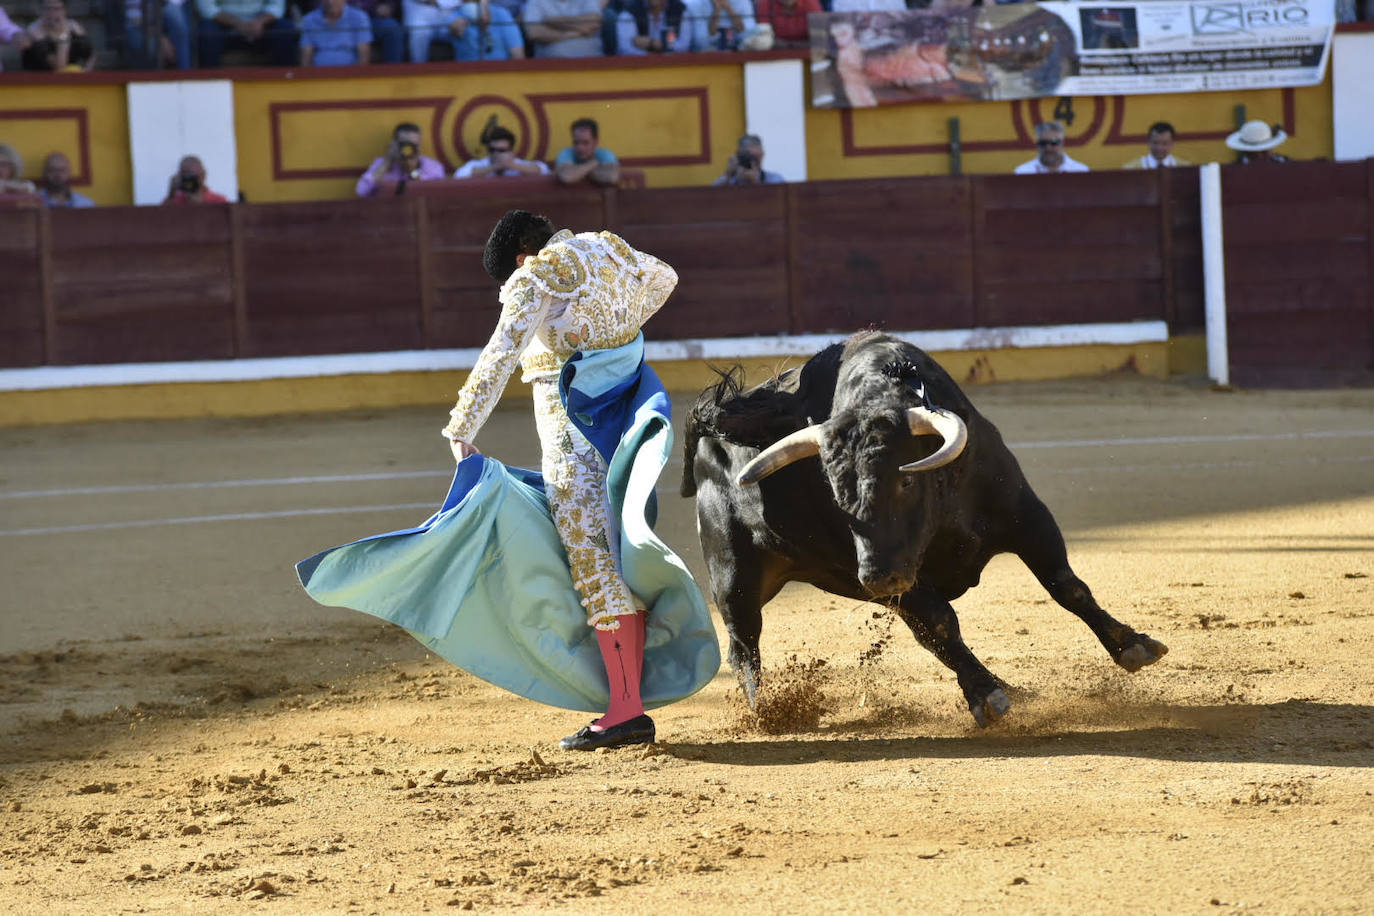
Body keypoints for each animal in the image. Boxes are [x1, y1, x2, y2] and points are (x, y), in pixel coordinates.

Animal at [681, 333, 1165, 725]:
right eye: (834, 492)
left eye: (906, 481)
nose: (877, 578)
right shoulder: (898, 571)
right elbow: (941, 622)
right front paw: (986, 697)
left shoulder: (1026, 515)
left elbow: (1067, 586)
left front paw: (1133, 646)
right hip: (734, 576)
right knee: (743, 644)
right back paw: (764, 712)